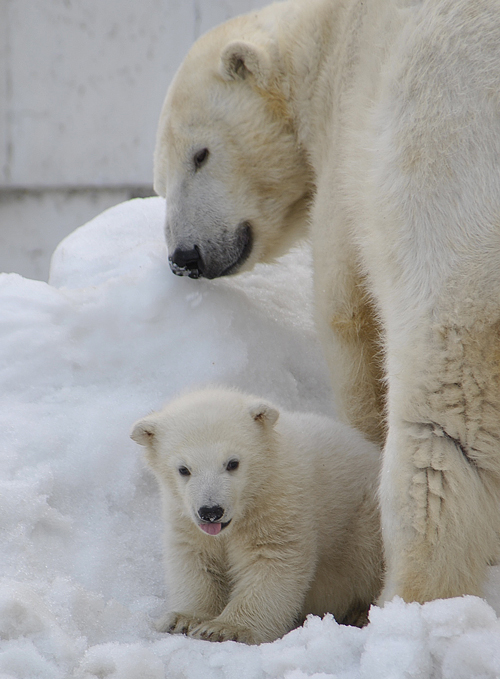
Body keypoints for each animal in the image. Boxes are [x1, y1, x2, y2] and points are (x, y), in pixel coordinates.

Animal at [154, 0, 500, 604]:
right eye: (160, 176)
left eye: (200, 154)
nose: (184, 256)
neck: (333, 33)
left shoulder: (351, 141)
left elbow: (346, 308)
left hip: (448, 172)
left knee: (442, 416)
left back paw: (411, 592)